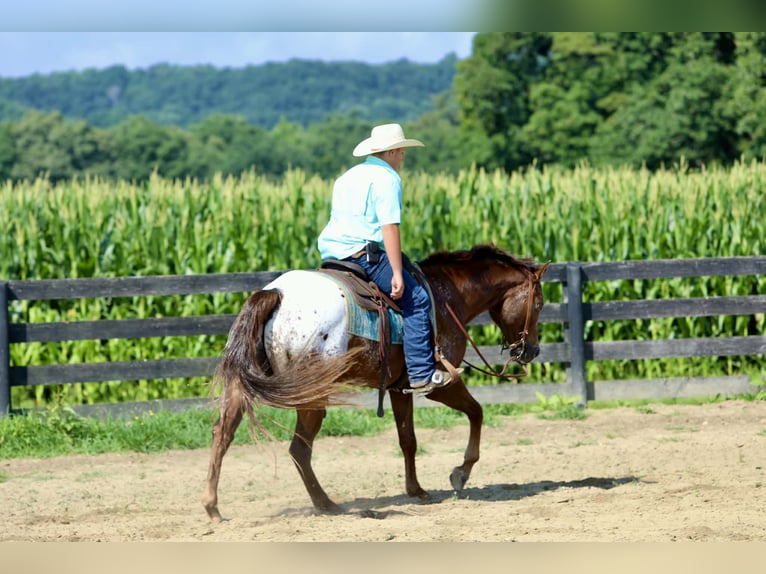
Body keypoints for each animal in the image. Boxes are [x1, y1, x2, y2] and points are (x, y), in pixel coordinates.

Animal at [201, 244, 549, 521]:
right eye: (540, 303)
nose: (532, 350)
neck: (445, 295)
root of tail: (276, 295)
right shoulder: (441, 384)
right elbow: (477, 412)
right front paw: (460, 473)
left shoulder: (398, 388)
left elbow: (408, 439)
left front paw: (416, 490)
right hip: (313, 396)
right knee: (299, 449)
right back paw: (326, 504)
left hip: (241, 389)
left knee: (223, 434)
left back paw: (213, 507)